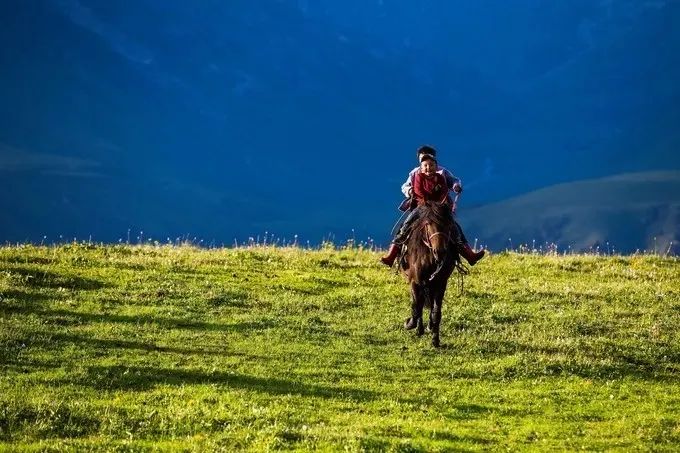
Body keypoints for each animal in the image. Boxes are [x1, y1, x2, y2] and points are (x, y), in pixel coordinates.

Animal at [402, 200, 460, 346]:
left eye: (448, 224)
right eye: (428, 224)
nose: (439, 252)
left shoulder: (441, 283)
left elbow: (436, 312)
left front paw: (435, 339)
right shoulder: (415, 281)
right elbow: (417, 306)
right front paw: (411, 324)